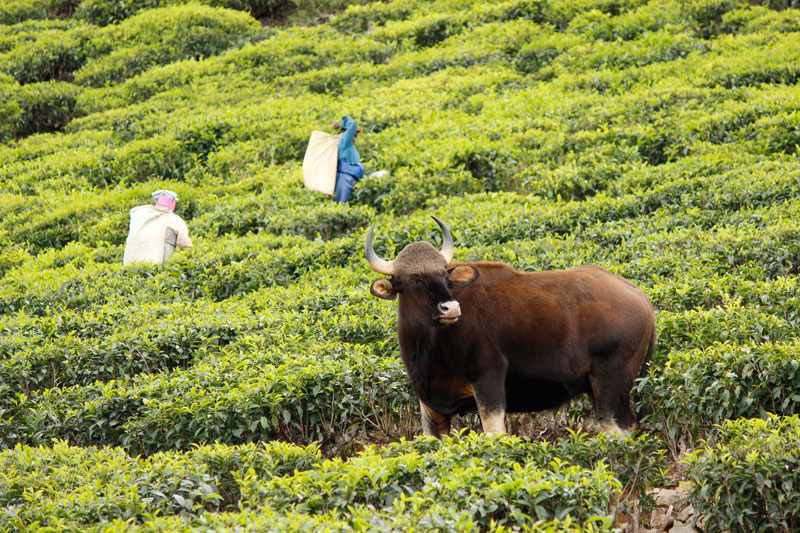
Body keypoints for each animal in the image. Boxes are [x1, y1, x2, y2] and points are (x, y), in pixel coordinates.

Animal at [368, 216, 656, 436]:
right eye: (413, 280)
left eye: (444, 275)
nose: (451, 308)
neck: (432, 348)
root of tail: (640, 297)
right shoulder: (431, 407)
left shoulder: (488, 382)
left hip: (611, 385)